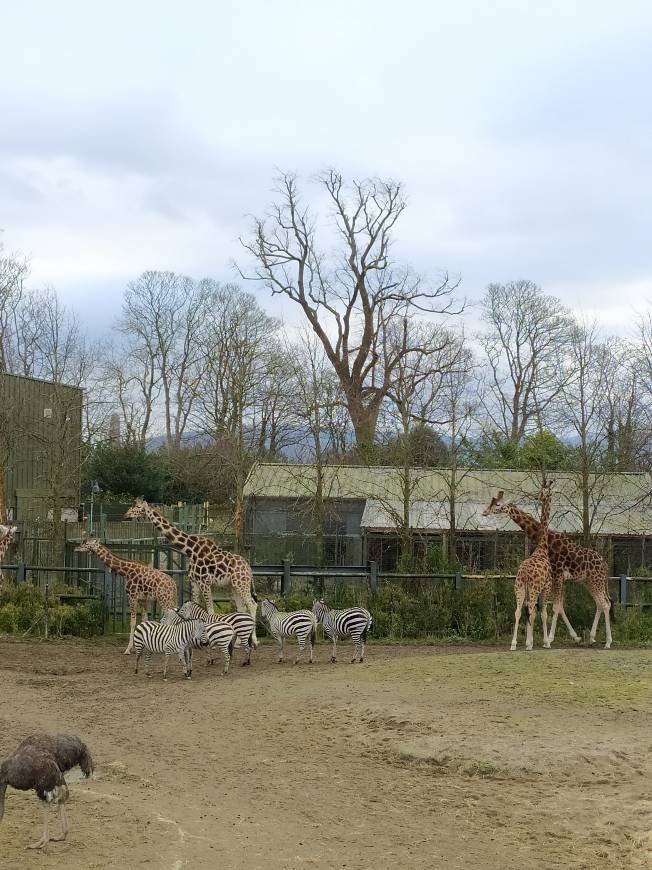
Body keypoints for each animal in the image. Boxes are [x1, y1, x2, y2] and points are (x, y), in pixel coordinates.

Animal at [125, 498, 260, 648]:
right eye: (132, 505)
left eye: (137, 507)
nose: (126, 514)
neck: (190, 550)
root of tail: (249, 569)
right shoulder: (194, 581)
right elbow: (195, 607)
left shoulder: (204, 582)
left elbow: (210, 610)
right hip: (233, 586)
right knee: (242, 608)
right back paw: (237, 642)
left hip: (241, 584)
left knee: (252, 605)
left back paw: (254, 640)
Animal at [482, 490, 612, 648]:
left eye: (498, 505)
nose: (484, 512)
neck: (547, 540)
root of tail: (605, 565)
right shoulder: (557, 578)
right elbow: (558, 606)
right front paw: (575, 637)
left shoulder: (557, 575)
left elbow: (555, 607)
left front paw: (549, 639)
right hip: (588, 582)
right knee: (600, 604)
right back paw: (592, 638)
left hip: (596, 581)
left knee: (606, 604)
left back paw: (608, 642)